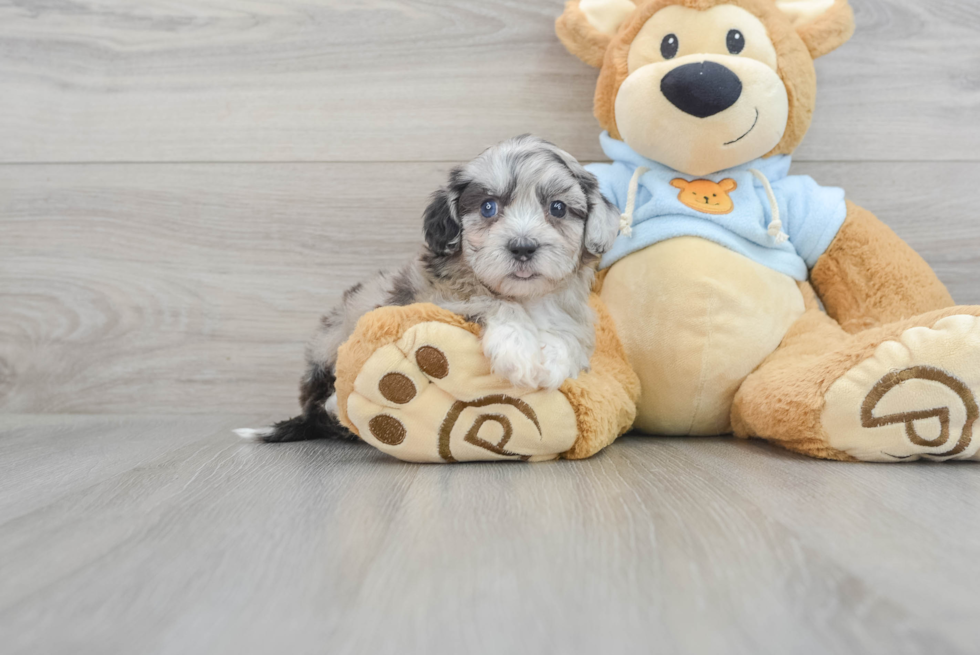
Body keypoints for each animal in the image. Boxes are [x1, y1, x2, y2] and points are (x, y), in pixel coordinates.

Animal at [240, 137, 616, 446]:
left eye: (558, 208)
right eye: (488, 207)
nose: (523, 247)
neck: (524, 297)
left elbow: (570, 334)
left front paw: (554, 359)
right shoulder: (436, 298)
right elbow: (491, 304)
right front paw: (520, 353)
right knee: (327, 405)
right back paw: (335, 404)